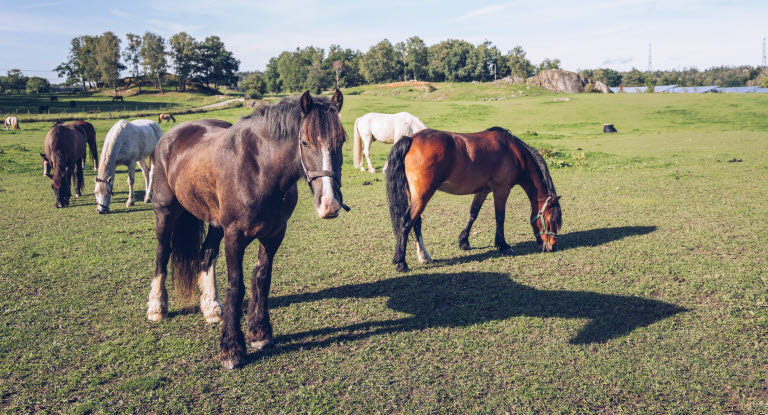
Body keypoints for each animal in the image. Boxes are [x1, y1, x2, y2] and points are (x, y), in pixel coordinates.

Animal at [145, 89, 348, 368]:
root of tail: (171, 134)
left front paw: (260, 333)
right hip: (165, 213)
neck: (260, 169)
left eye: (342, 141)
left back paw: (211, 307)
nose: (330, 204)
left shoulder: (274, 234)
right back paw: (157, 307)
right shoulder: (235, 236)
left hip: (215, 223)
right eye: (305, 143)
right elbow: (236, 286)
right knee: (162, 254)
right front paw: (231, 349)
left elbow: (262, 279)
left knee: (206, 256)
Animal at [388, 128, 560, 274]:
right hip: (423, 196)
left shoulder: (483, 191)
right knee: (406, 222)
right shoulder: (501, 190)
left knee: (416, 222)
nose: (552, 246)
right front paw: (503, 245)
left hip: (415, 196)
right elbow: (500, 217)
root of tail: (411, 139)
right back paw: (401, 262)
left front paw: (464, 241)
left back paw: (424, 256)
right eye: (551, 220)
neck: (513, 152)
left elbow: (473, 214)